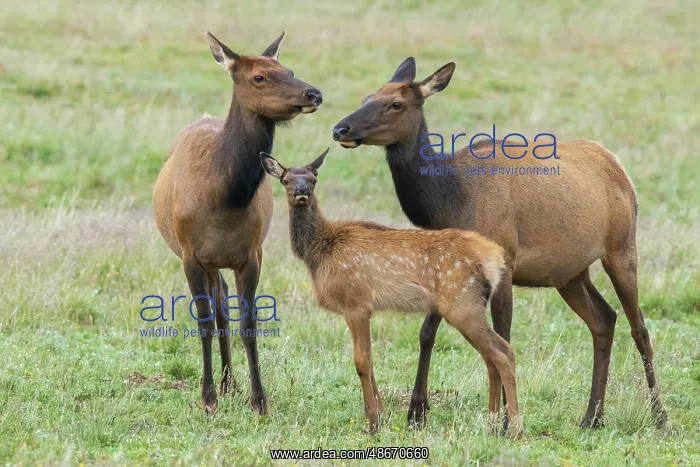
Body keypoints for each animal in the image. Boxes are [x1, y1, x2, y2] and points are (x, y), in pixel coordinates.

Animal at [152, 31, 323, 415]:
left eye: (289, 69)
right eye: (259, 77)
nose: (314, 94)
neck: (222, 200)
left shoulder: (252, 253)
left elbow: (248, 322)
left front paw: (259, 401)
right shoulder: (190, 255)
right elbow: (203, 321)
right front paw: (207, 399)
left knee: (224, 304)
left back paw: (231, 382)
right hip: (203, 259)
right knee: (217, 308)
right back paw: (223, 385)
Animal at [260, 148, 523, 438]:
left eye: (313, 178)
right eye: (285, 179)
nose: (302, 190)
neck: (318, 253)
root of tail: (493, 258)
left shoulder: (356, 302)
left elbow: (362, 362)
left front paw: (372, 422)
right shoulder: (359, 308)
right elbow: (371, 362)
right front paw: (382, 416)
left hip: (462, 303)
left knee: (504, 352)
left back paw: (514, 428)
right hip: (469, 305)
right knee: (491, 357)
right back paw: (492, 423)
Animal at [331, 57, 667, 431]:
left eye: (396, 104)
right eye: (367, 96)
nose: (341, 129)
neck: (450, 201)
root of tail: (619, 167)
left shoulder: (505, 259)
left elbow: (502, 334)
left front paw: (506, 420)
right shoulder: (446, 266)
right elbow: (427, 332)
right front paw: (417, 412)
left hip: (622, 248)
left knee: (640, 328)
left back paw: (659, 417)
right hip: (570, 273)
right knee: (604, 320)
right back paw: (592, 416)